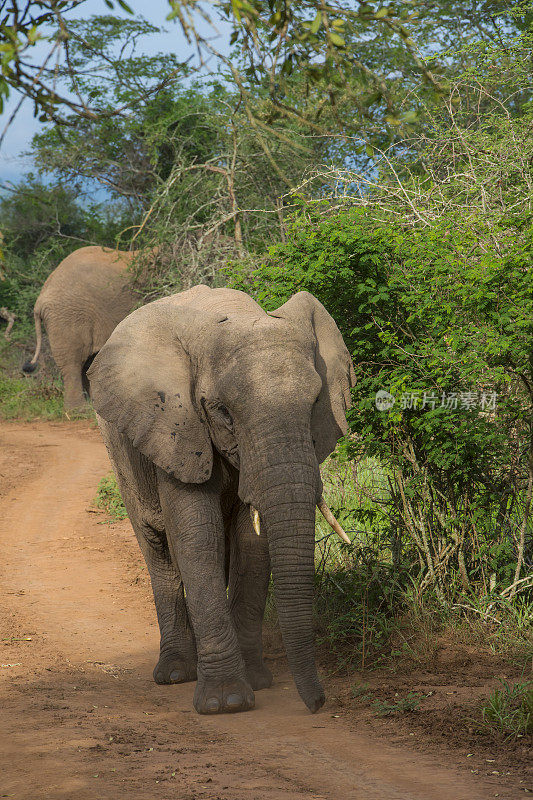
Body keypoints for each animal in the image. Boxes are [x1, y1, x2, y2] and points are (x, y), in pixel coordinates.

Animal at [87, 284, 354, 716]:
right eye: (224, 412)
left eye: (315, 403)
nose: (318, 704)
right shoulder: (175, 427)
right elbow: (198, 540)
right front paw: (225, 703)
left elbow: (252, 543)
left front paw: (257, 683)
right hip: (120, 449)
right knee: (157, 549)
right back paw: (176, 673)